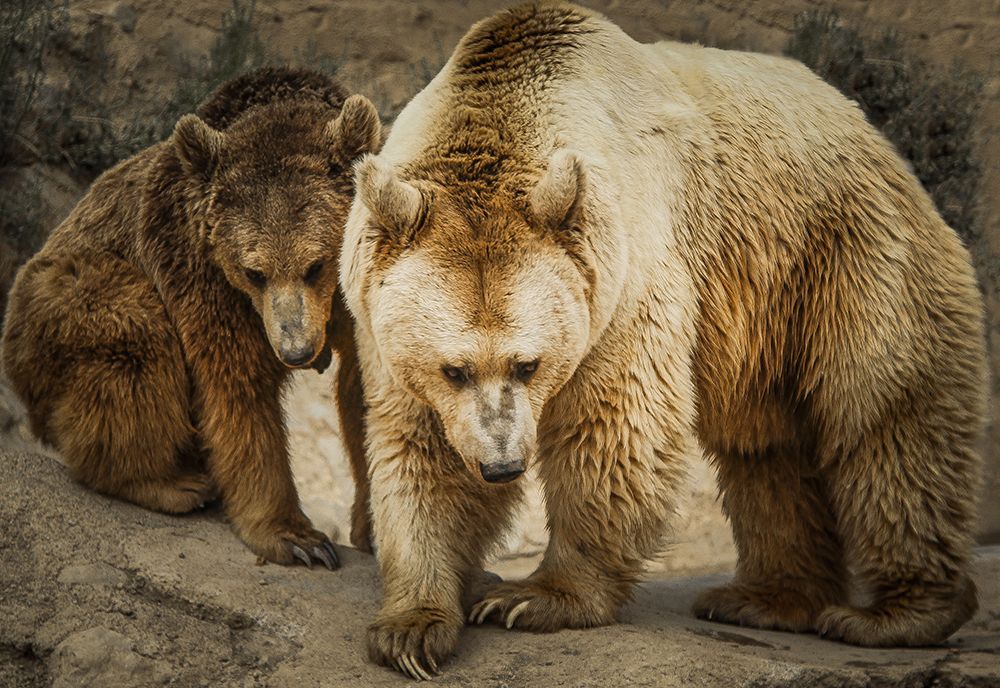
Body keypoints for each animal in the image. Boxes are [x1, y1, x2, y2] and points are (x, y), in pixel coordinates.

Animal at [2, 67, 382, 567]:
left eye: (316, 264)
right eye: (254, 272)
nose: (297, 351)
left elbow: (368, 393)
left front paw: (375, 529)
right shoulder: (202, 271)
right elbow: (237, 389)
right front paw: (298, 538)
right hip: (64, 299)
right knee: (133, 342)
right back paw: (167, 482)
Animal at [338, 2, 987, 678]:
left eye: (528, 363)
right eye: (454, 369)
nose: (502, 464)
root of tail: (877, 139)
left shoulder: (623, 280)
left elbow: (616, 426)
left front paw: (535, 597)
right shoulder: (384, 326)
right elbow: (421, 451)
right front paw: (412, 627)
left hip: (846, 259)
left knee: (885, 417)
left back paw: (894, 614)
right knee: (767, 446)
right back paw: (766, 599)